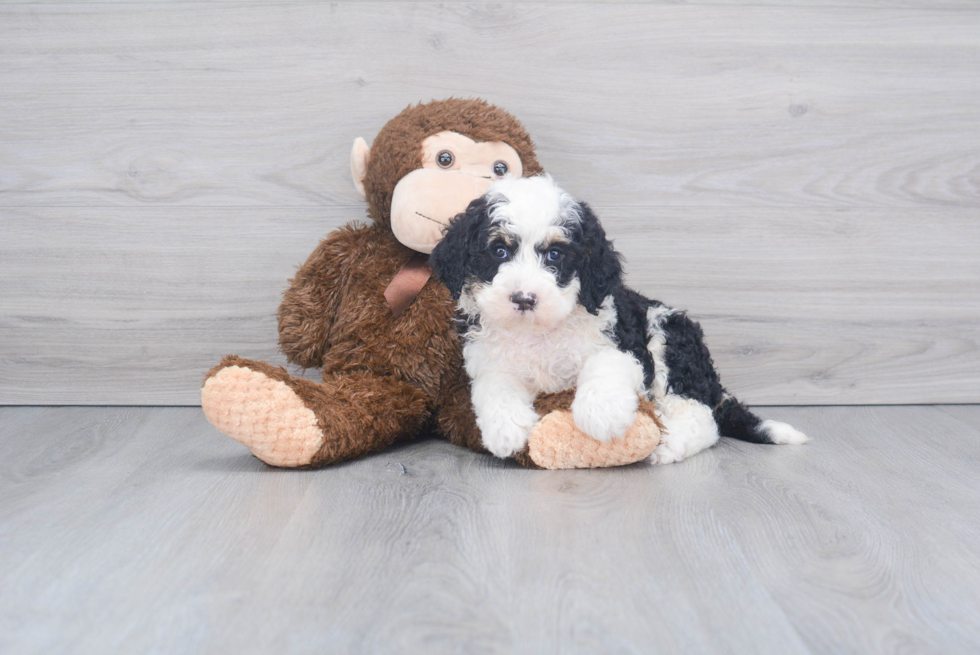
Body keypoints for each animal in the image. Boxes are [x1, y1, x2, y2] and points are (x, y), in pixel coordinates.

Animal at [428, 174, 804, 462]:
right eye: (499, 251)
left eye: (555, 255)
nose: (523, 299)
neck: (540, 332)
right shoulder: (487, 357)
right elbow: (495, 384)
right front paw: (507, 429)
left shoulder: (624, 342)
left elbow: (605, 362)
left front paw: (601, 414)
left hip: (669, 335)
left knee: (702, 417)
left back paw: (666, 444)